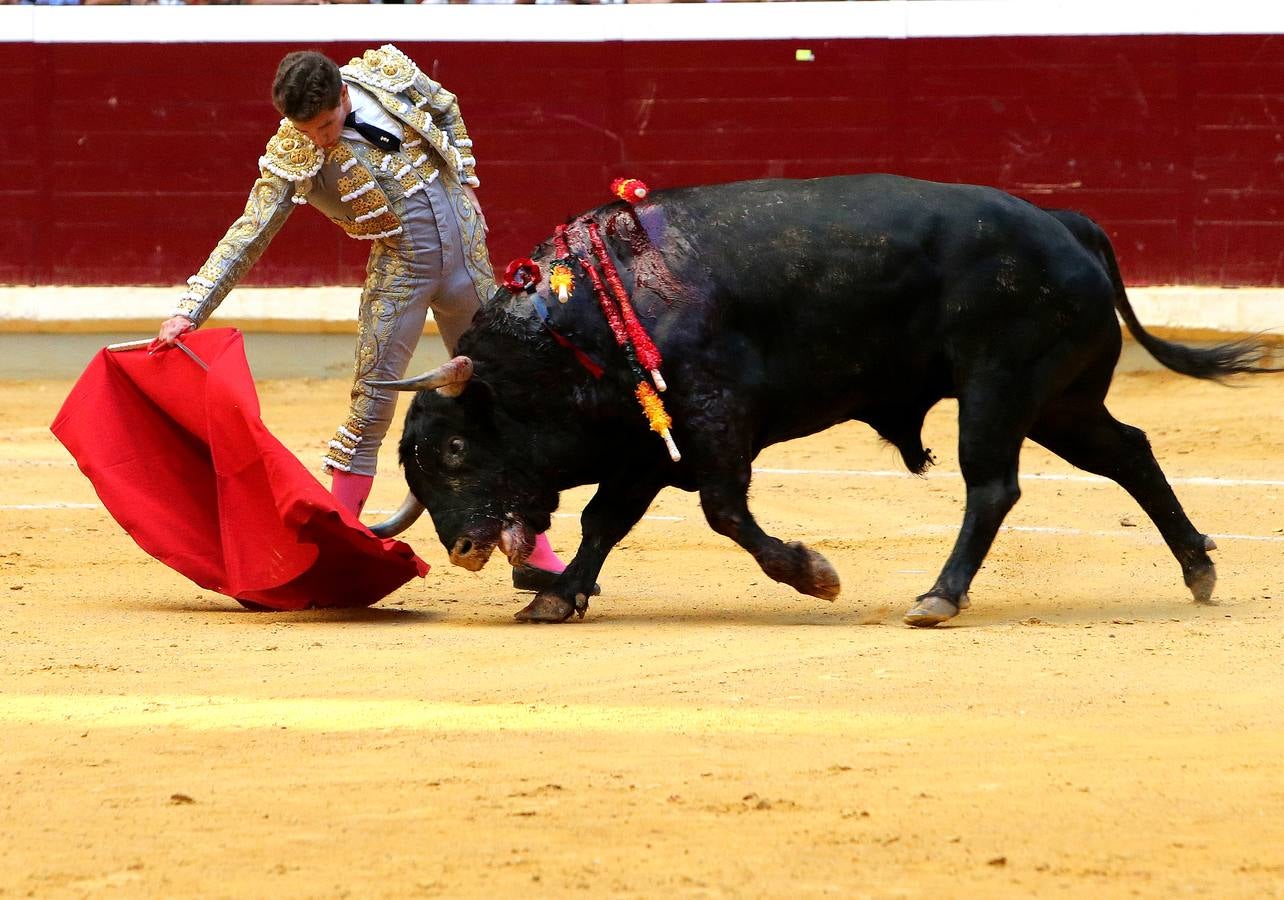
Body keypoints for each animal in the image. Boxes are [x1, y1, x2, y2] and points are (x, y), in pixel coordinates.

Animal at [369, 175, 1273, 623]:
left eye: (455, 449)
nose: (465, 549)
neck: (573, 324)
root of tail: (1066, 222)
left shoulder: (713, 425)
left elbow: (725, 515)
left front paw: (815, 575)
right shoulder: (646, 444)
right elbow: (604, 521)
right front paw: (558, 598)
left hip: (999, 386)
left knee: (993, 486)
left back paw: (939, 596)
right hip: (1060, 401)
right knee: (1129, 451)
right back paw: (1198, 567)